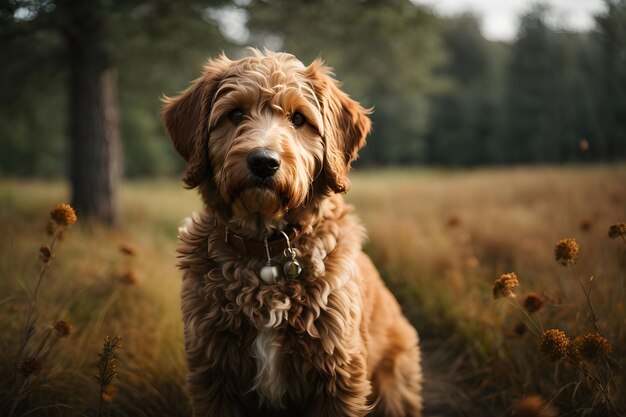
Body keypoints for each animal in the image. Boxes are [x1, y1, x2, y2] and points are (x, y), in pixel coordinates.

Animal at [161, 49, 420, 416]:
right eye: (235, 114)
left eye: (299, 118)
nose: (264, 162)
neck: (267, 253)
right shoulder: (212, 372)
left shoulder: (338, 373)